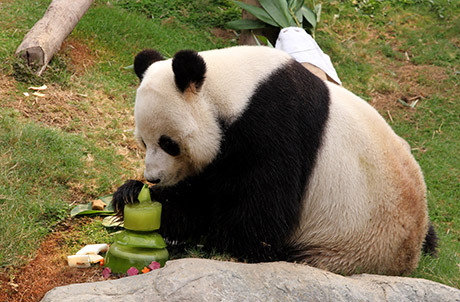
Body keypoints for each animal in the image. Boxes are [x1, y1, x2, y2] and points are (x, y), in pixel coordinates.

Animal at [113, 45, 436, 276]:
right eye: (143, 142)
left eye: (169, 143)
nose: (153, 177)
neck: (234, 87)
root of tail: (408, 257)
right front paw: (129, 194)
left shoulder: (274, 127)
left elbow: (259, 214)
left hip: (347, 242)